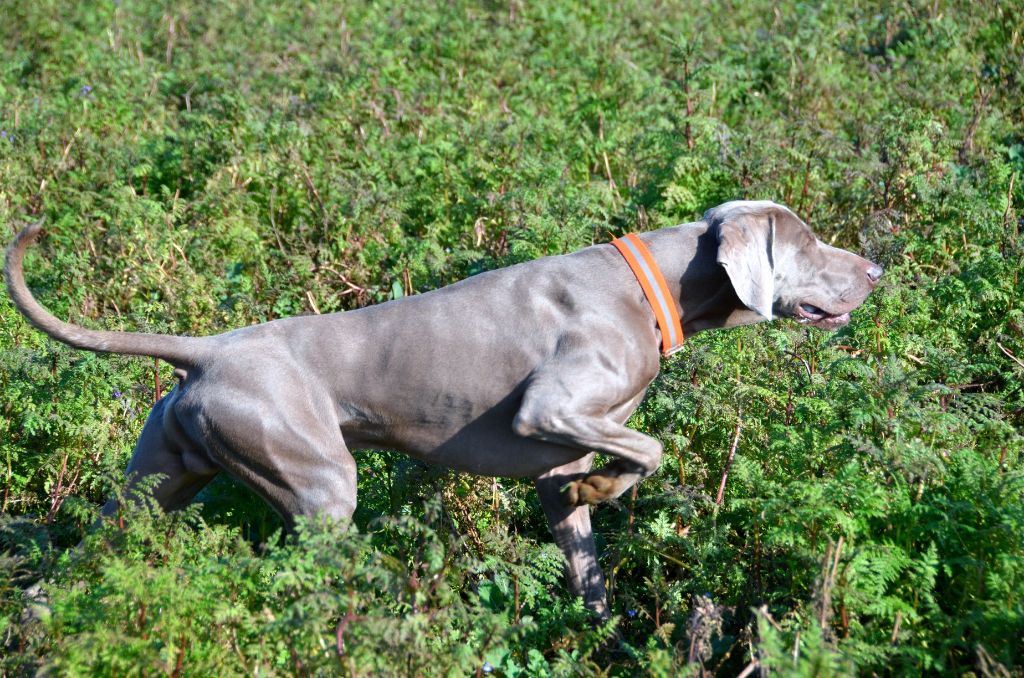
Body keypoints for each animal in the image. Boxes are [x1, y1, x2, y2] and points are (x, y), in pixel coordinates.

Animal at [2, 200, 880, 614]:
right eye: (808, 244)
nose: (876, 270)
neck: (656, 285)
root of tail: (207, 351)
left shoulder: (555, 465)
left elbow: (588, 564)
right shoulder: (549, 411)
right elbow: (650, 451)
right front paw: (604, 486)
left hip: (150, 489)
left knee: (78, 560)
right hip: (319, 485)